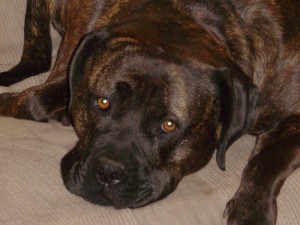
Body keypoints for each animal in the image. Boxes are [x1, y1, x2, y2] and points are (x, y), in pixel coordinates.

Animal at [0, 0, 300, 224]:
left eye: (169, 125)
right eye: (103, 103)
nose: (107, 172)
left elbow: (267, 161)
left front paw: (251, 212)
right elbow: (32, 101)